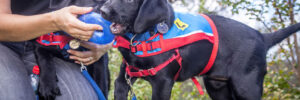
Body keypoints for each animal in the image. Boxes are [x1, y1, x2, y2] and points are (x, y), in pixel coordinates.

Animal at [100, 0, 300, 99]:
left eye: (129, 0)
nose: (102, 10)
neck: (144, 36)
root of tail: (262, 37)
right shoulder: (123, 80)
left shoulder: (163, 83)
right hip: (218, 88)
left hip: (246, 87)